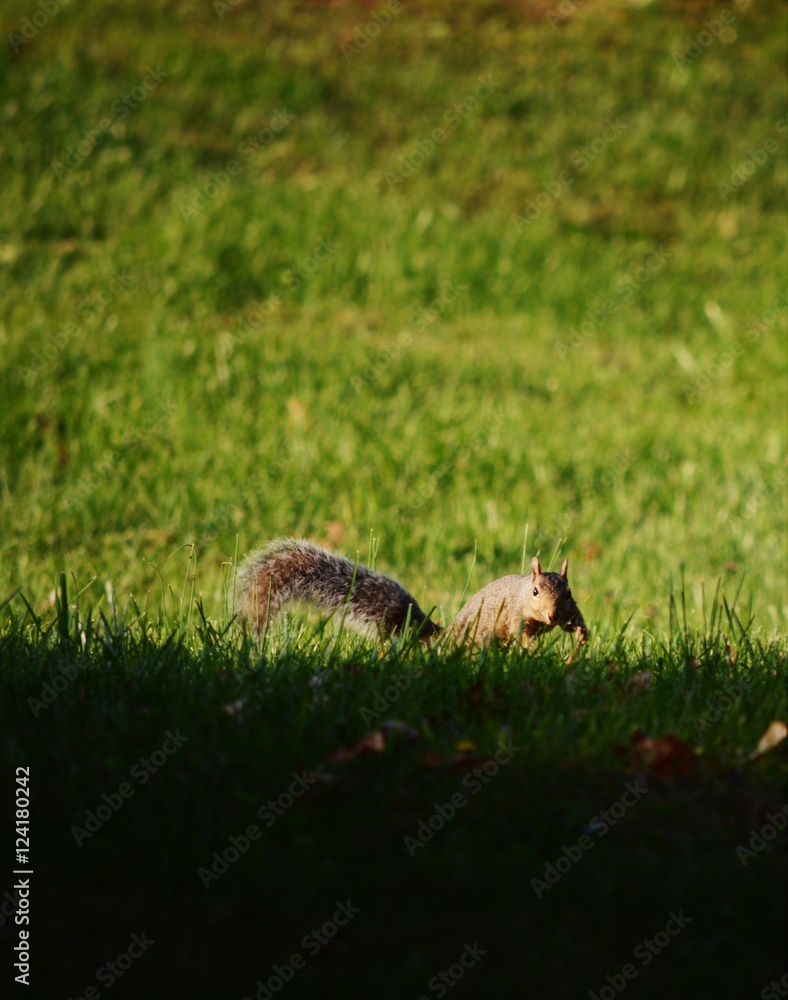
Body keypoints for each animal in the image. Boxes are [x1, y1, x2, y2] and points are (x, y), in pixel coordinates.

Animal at [236, 538, 587, 648]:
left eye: (569, 591)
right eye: (535, 591)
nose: (553, 614)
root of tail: (445, 638)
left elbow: (577, 622)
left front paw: (582, 636)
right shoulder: (514, 612)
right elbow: (519, 631)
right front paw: (530, 647)